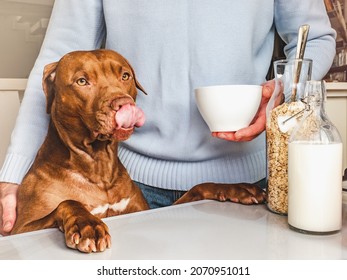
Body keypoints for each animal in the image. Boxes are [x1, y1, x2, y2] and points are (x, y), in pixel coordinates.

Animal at [10, 49, 266, 253]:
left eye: (125, 76)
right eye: (82, 81)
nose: (123, 104)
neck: (98, 165)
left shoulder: (143, 210)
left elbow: (198, 187)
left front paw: (237, 188)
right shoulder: (21, 229)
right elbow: (68, 203)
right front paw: (87, 225)